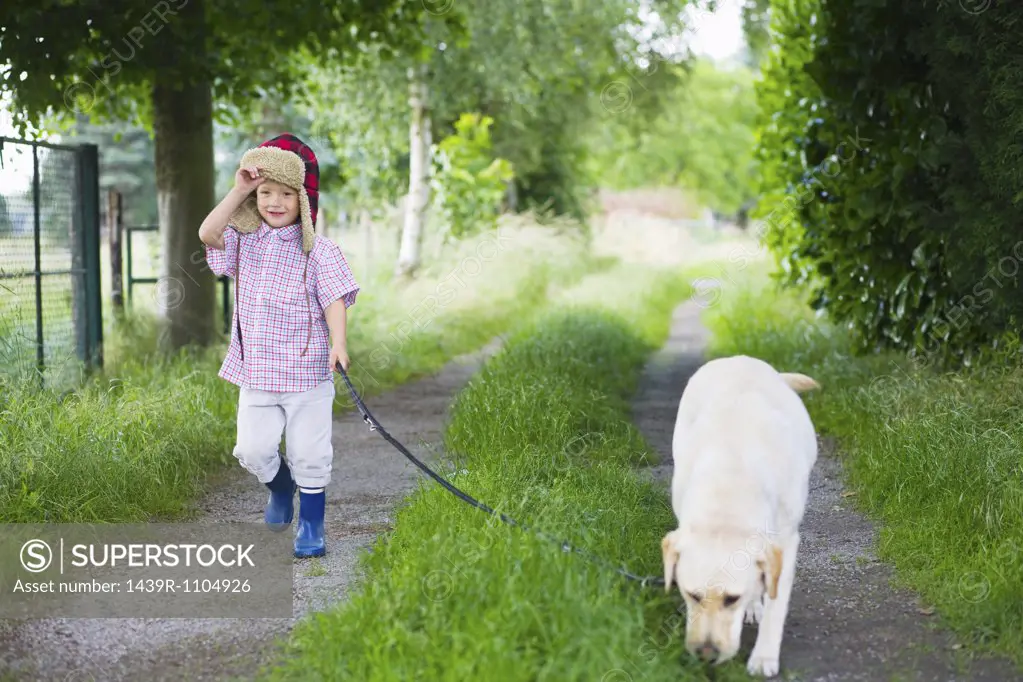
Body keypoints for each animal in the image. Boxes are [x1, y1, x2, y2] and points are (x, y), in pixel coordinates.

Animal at [658, 357, 818, 678]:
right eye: (692, 595)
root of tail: (739, 358)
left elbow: (775, 601)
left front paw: (764, 657)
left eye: (731, 599)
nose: (706, 654)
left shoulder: (786, 543)